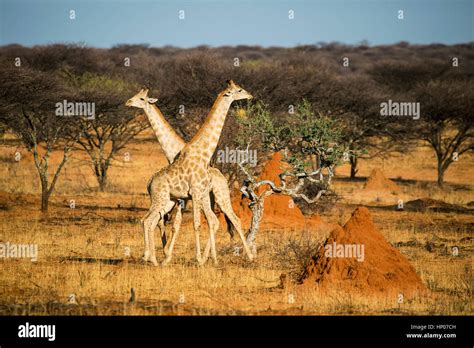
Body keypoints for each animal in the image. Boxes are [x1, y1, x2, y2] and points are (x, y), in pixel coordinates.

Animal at [124, 82, 254, 266]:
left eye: (141, 98)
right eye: (239, 90)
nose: (250, 95)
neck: (202, 154)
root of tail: (149, 182)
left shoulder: (192, 196)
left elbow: (186, 224)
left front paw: (175, 257)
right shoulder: (191, 195)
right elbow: (188, 224)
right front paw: (188, 258)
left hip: (216, 196)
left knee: (228, 220)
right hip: (168, 198)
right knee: (149, 220)